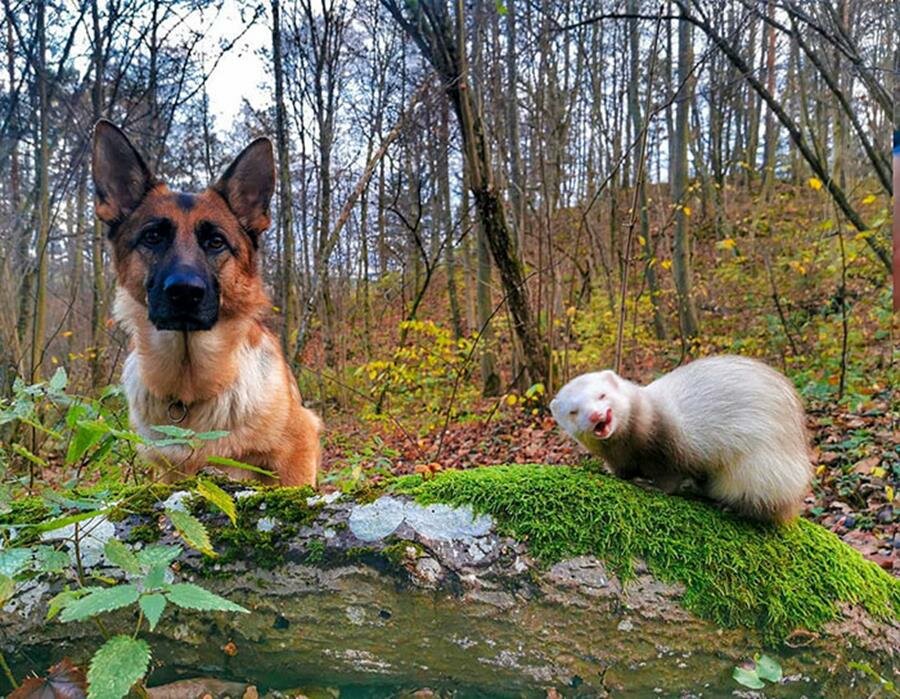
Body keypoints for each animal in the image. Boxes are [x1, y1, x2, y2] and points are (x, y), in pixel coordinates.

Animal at [91, 120, 322, 486]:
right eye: (152, 237)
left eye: (215, 242)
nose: (185, 292)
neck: (189, 391)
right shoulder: (167, 473)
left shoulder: (298, 450)